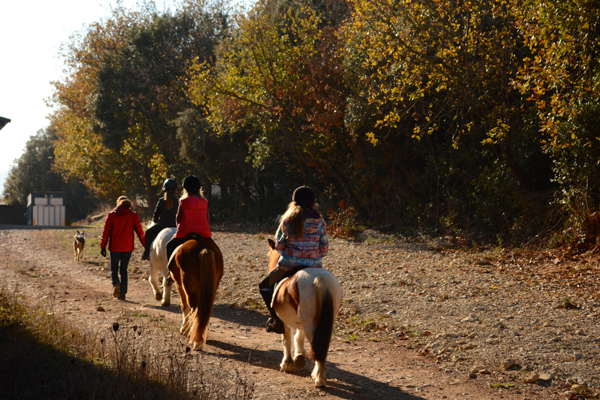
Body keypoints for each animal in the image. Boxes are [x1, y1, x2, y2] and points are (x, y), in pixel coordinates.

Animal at [266, 239, 344, 386]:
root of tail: (321, 278)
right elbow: (298, 335)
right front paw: (299, 356)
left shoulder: (283, 321)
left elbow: (287, 339)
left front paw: (287, 364)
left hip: (310, 326)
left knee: (317, 346)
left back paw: (319, 378)